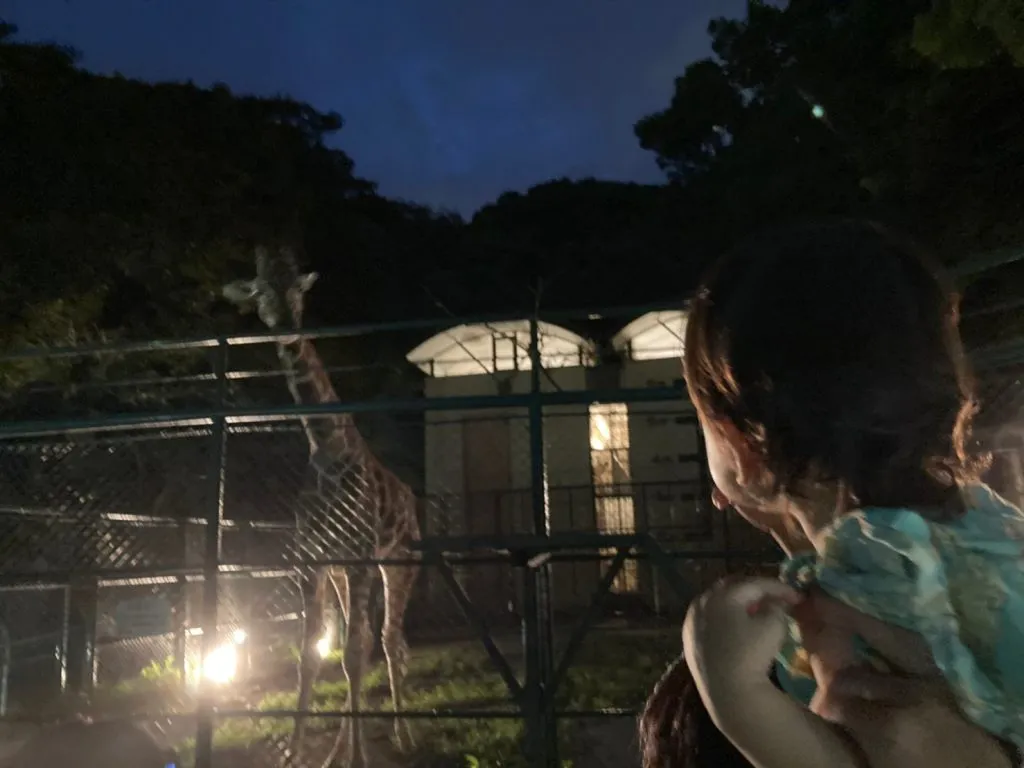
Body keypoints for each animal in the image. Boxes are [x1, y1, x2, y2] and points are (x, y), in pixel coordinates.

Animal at [225, 246, 419, 768]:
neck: (326, 446)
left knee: (388, 640)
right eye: (259, 289)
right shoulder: (311, 561)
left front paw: (360, 757)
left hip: (399, 563)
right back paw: (341, 746)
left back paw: (402, 736)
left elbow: (353, 653)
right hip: (343, 572)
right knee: (367, 639)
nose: (285, 325)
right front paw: (297, 751)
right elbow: (311, 654)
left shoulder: (360, 556)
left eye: (298, 288)